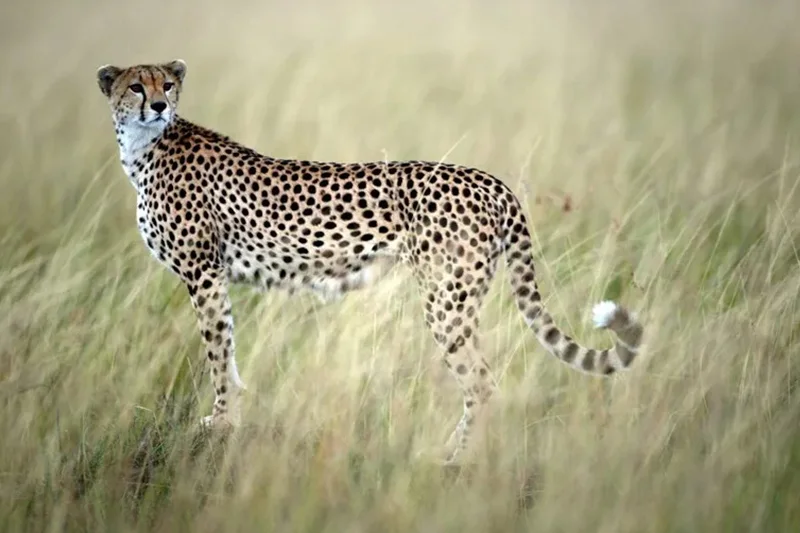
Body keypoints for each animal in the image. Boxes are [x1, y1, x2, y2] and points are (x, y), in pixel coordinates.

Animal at [96, 59, 644, 465]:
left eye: (166, 84)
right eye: (136, 87)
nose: (159, 105)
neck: (145, 148)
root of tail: (490, 180)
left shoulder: (203, 274)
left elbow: (216, 351)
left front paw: (222, 421)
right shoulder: (211, 277)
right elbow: (226, 351)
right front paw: (228, 417)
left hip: (446, 301)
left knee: (484, 384)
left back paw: (457, 458)